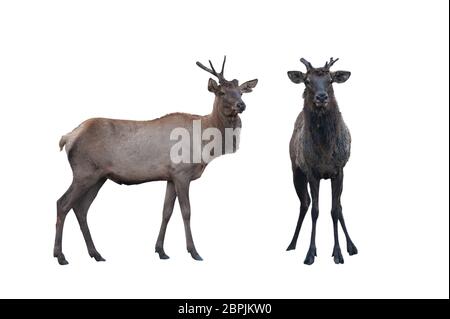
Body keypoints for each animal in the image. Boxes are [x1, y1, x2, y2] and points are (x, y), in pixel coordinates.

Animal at [54, 57, 256, 264]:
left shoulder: (170, 177)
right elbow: (186, 212)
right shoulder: (182, 173)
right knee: (63, 204)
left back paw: (96, 253)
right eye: (222, 92)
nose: (241, 105)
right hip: (84, 172)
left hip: (98, 177)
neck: (206, 144)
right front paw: (194, 252)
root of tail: (67, 137)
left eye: (241, 92)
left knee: (81, 208)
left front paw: (161, 250)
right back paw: (60, 256)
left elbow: (166, 212)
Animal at [286, 57, 356, 264]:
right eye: (307, 81)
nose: (322, 97)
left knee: (339, 206)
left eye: (330, 80)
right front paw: (310, 253)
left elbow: (334, 210)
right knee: (304, 203)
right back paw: (292, 243)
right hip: (296, 171)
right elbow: (315, 211)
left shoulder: (339, 171)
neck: (325, 151)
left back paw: (351, 245)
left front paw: (338, 253)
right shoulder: (311, 172)